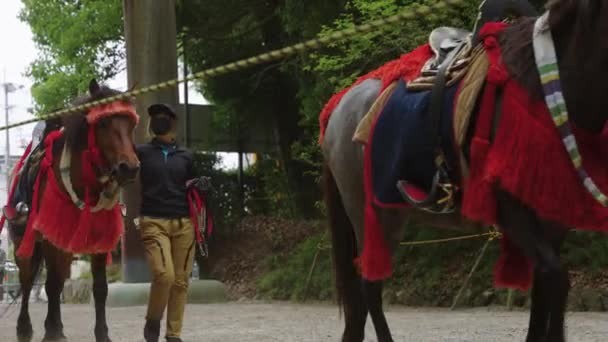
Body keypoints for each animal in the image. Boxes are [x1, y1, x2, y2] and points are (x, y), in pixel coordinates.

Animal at [7, 79, 140, 340]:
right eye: (103, 122)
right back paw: (24, 328)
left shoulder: (99, 237)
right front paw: (51, 332)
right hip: (22, 241)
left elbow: (100, 288)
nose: (129, 168)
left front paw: (102, 334)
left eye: (130, 124)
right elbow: (51, 285)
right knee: (27, 282)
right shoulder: (51, 235)